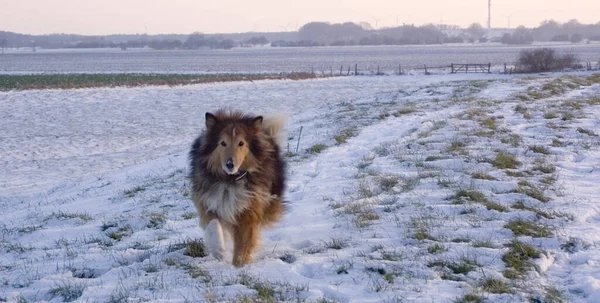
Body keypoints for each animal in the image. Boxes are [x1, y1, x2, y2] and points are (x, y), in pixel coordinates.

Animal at [190, 110, 288, 268]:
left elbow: (244, 239)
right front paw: (218, 250)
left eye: (241, 143)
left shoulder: (249, 207)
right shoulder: (207, 200)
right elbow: (213, 224)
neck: (230, 180)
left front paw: (240, 263)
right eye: (223, 143)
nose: (230, 164)